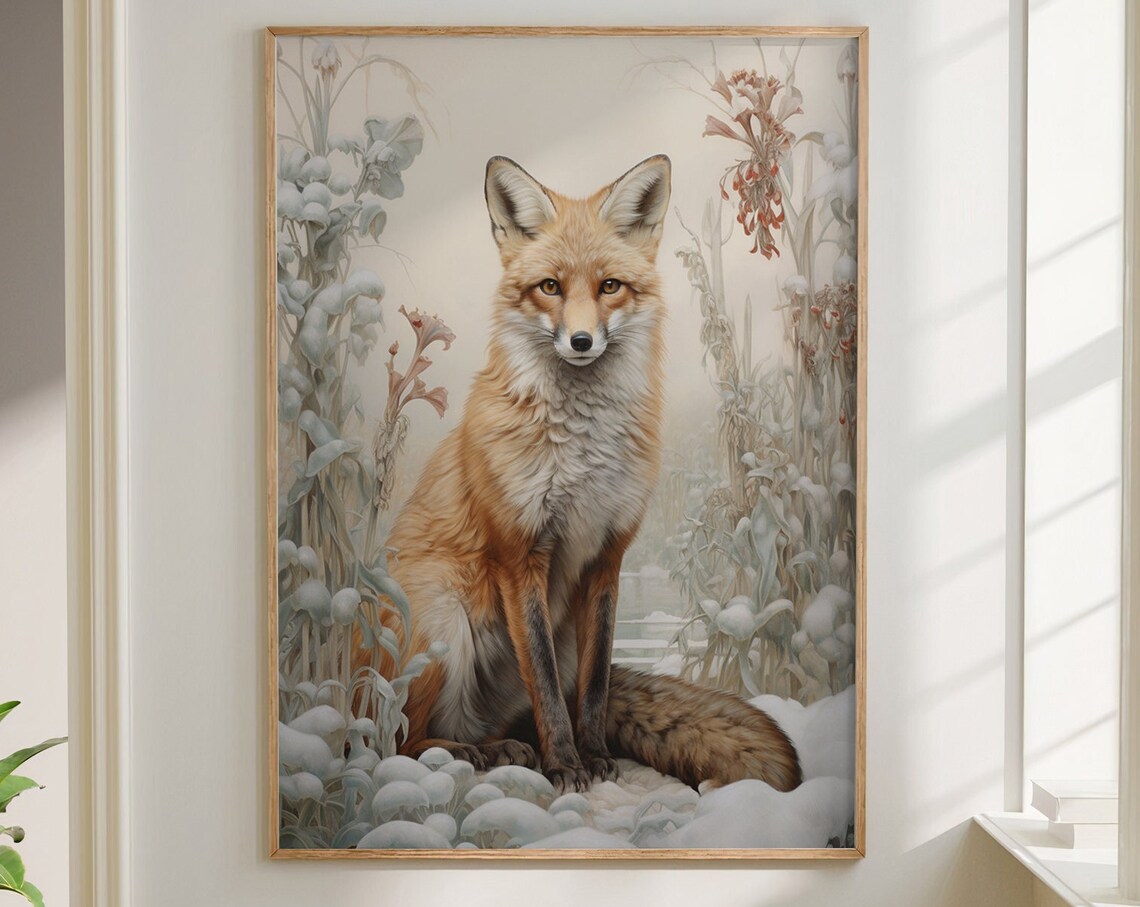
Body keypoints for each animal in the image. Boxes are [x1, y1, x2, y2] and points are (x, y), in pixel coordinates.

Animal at [363, 154, 802, 793]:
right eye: (550, 287)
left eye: (609, 287)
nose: (580, 340)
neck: (582, 453)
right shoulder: (520, 555)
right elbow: (547, 686)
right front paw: (565, 766)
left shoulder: (608, 557)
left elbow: (592, 686)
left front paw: (593, 756)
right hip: (441, 619)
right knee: (396, 741)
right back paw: (473, 753)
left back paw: (503, 746)